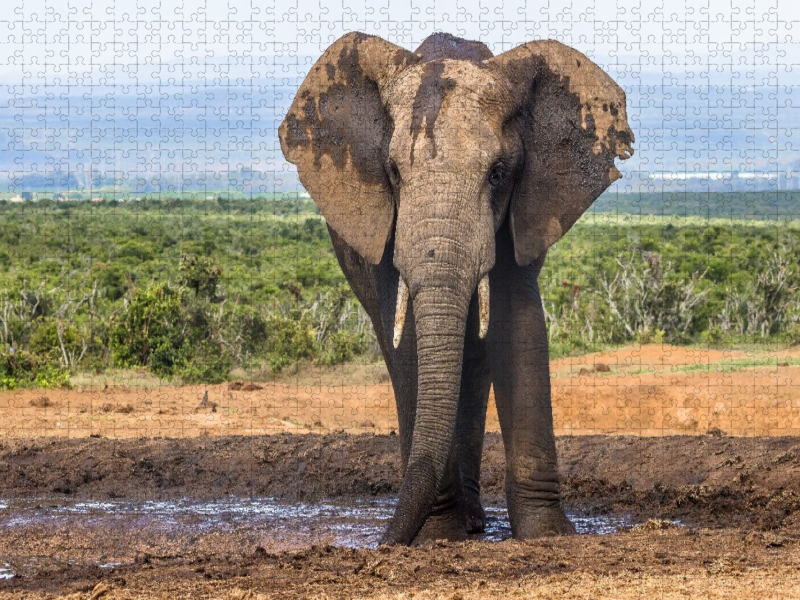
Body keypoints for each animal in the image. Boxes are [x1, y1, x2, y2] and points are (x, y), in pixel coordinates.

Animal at [279, 31, 634, 546]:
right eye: (393, 172)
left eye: (498, 172)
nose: (383, 545)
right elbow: (408, 340)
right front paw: (439, 536)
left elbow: (517, 323)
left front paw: (547, 536)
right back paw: (461, 524)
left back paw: (475, 522)